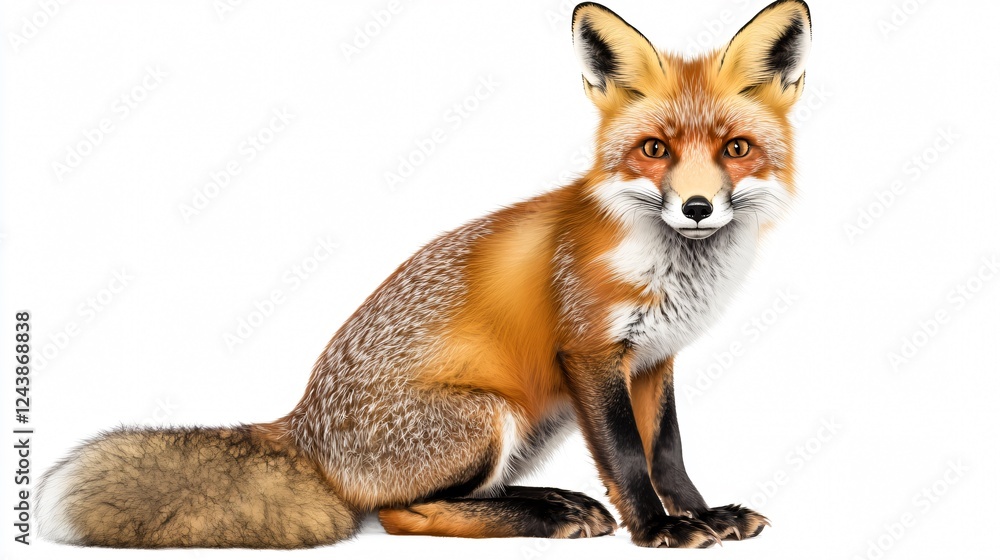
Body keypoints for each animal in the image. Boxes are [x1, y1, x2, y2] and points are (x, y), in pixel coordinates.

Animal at [36, 0, 811, 549]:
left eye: (736, 149)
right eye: (655, 150)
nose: (697, 207)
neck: (673, 268)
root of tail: (302, 428)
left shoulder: (654, 359)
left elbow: (668, 453)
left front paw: (705, 514)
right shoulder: (592, 352)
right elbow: (628, 458)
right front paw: (659, 530)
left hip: (537, 420)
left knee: (461, 497)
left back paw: (551, 502)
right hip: (490, 416)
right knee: (404, 513)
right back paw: (546, 516)